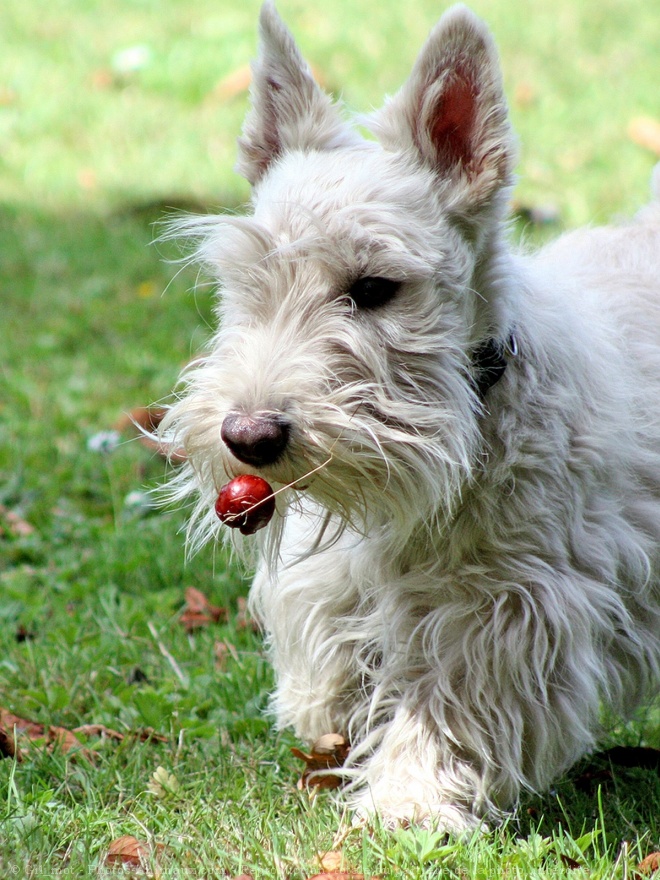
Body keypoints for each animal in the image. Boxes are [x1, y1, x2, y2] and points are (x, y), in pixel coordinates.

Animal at [164, 5, 660, 832]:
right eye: (248, 280)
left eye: (374, 288)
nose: (249, 437)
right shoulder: (335, 581)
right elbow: (332, 659)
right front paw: (328, 714)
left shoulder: (506, 605)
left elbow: (450, 705)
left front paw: (409, 798)